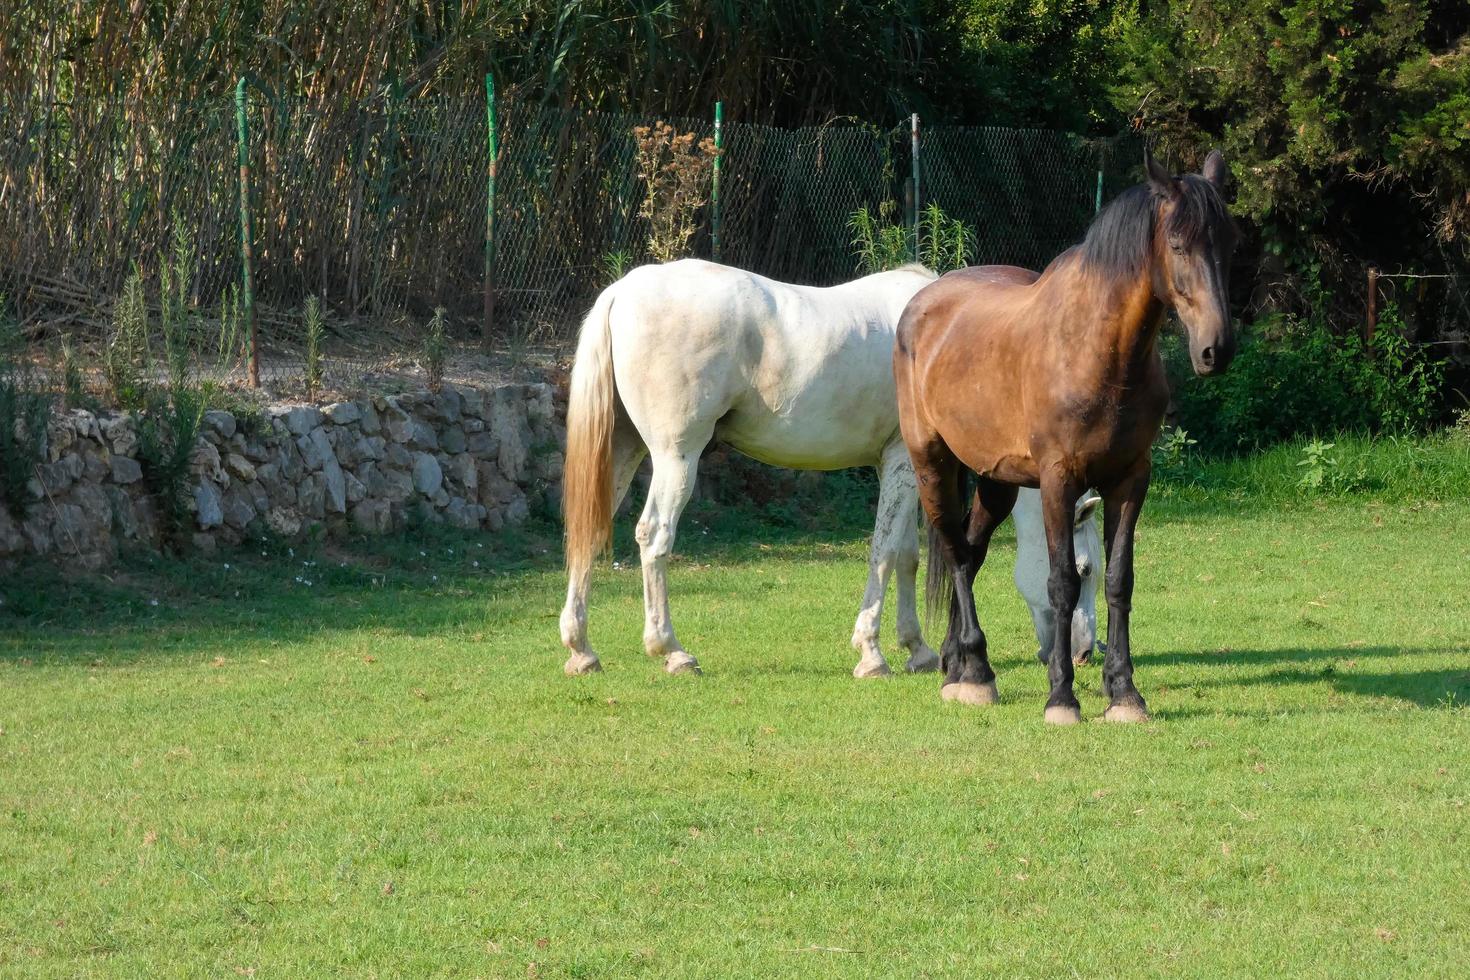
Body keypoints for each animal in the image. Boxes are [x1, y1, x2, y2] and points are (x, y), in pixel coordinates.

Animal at [555, 257, 1099, 678]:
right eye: (1083, 569)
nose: (1084, 653)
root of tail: (624, 290)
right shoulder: (902, 461)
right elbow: (883, 553)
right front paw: (872, 653)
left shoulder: (898, 469)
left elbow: (906, 553)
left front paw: (917, 649)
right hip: (676, 457)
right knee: (654, 538)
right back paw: (671, 651)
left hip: (623, 451)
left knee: (588, 532)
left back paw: (582, 651)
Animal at [887, 149, 1234, 725]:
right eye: (1178, 245)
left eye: (1228, 244)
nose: (1216, 349)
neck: (1098, 353)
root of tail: (922, 301)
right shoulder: (1057, 480)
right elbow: (1060, 582)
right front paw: (1062, 697)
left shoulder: (1130, 480)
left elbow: (1120, 580)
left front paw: (1124, 693)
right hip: (930, 462)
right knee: (957, 553)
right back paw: (977, 674)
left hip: (996, 482)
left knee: (973, 551)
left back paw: (959, 668)